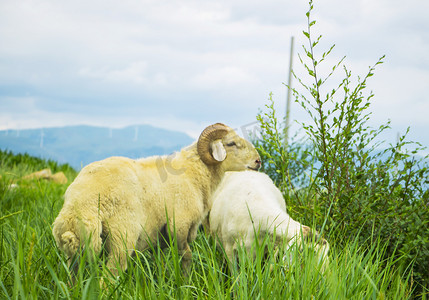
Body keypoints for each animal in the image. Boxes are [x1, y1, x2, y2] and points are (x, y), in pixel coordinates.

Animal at [51, 123, 260, 276]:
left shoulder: (159, 237)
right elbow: (187, 256)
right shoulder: (179, 225)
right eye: (231, 143)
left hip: (77, 253)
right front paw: (184, 281)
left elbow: (160, 261)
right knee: (110, 276)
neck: (195, 173)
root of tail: (79, 205)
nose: (258, 161)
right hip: (122, 237)